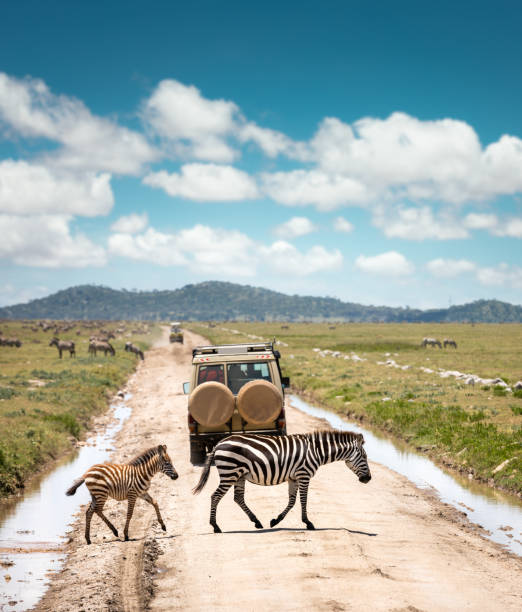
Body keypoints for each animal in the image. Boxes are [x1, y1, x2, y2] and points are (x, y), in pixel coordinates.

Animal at [192, 428, 370, 532]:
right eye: (364, 456)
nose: (368, 479)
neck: (316, 451)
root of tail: (219, 443)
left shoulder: (293, 478)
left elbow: (292, 501)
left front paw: (275, 521)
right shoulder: (304, 474)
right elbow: (303, 500)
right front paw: (308, 523)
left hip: (238, 475)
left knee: (238, 498)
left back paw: (257, 522)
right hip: (230, 473)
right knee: (215, 496)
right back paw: (215, 526)